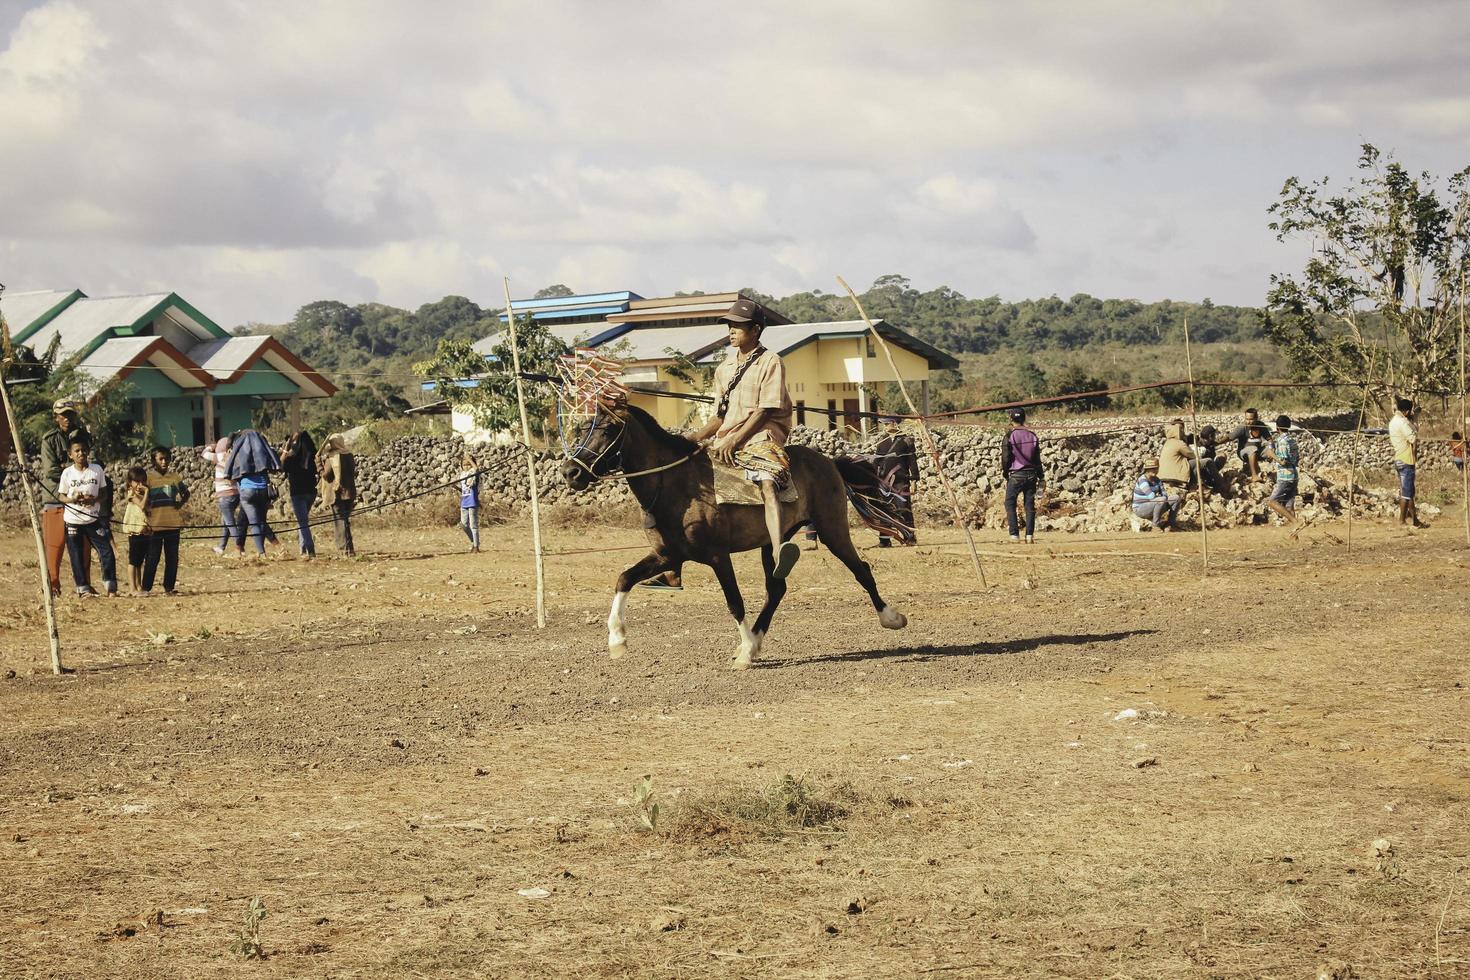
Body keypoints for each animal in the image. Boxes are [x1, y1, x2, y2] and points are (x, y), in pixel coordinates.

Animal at [561, 402, 905, 669]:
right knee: (776, 589)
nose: (570, 472)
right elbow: (624, 579)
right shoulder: (667, 555)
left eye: (607, 429)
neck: (676, 486)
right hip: (773, 544)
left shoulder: (717, 556)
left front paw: (745, 653)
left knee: (861, 570)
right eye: (580, 429)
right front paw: (617, 640)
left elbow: (734, 602)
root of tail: (828, 461)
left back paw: (891, 618)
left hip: (832, 529)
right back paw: (756, 640)